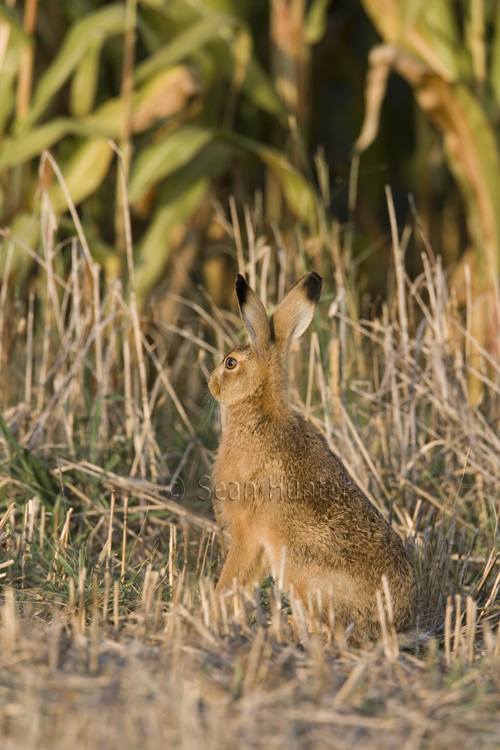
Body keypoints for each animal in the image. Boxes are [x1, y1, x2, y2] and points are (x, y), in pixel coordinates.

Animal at [208, 272, 417, 646]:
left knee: (332, 633)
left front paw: (213, 611)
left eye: (230, 363)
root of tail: (392, 628)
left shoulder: (247, 528)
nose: (209, 382)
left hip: (299, 566)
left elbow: (233, 575)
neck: (260, 410)